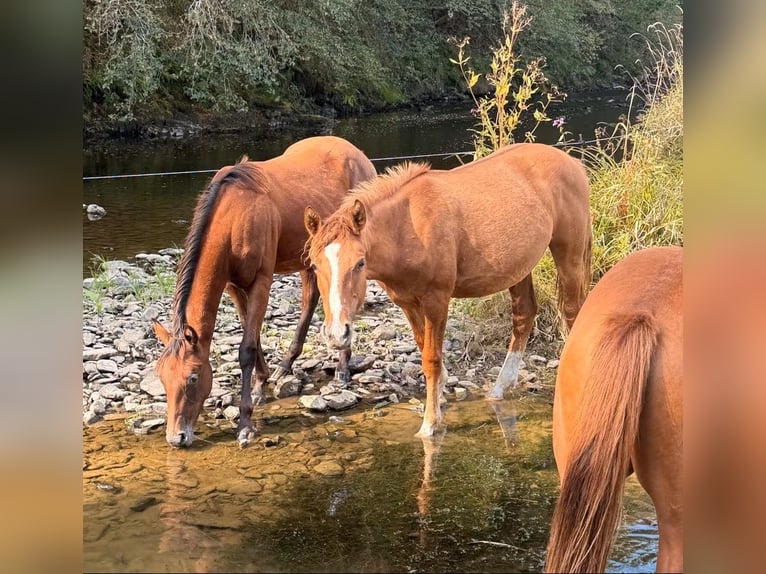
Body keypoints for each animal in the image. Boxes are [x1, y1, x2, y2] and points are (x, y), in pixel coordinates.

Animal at [151, 136, 376, 448]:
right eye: (162, 378)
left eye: (193, 377)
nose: (176, 437)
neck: (235, 217)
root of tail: (358, 154)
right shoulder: (233, 286)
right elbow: (253, 335)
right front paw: (261, 383)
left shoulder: (261, 281)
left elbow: (246, 347)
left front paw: (245, 421)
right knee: (310, 299)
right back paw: (286, 365)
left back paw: (342, 370)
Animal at [304, 142, 592, 437]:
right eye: (314, 265)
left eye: (359, 263)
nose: (337, 334)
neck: (406, 226)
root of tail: (570, 162)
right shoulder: (407, 303)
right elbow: (424, 350)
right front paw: (439, 396)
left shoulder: (436, 300)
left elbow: (431, 359)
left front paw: (430, 424)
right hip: (519, 267)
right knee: (524, 315)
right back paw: (499, 389)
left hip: (569, 252)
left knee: (572, 311)